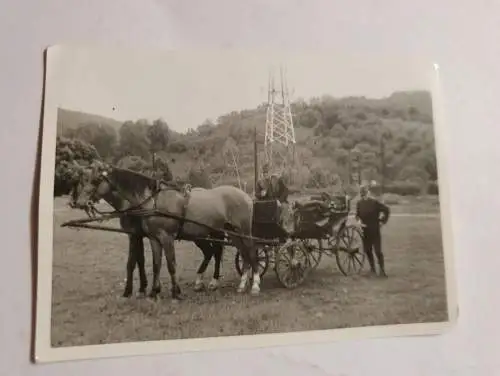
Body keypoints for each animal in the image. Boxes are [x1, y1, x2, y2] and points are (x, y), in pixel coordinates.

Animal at [74, 164, 262, 300]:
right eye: (84, 179)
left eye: (96, 180)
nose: (80, 202)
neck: (152, 202)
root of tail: (245, 195)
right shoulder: (152, 238)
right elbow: (155, 264)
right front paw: (153, 291)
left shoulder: (165, 238)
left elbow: (169, 264)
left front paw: (175, 292)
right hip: (231, 233)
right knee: (240, 254)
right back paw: (241, 284)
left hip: (242, 231)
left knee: (251, 252)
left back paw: (255, 284)